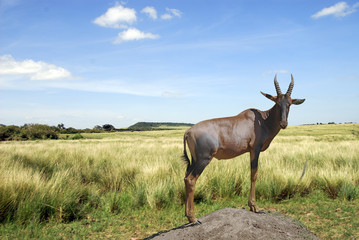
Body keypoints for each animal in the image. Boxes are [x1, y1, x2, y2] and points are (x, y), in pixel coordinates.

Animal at [181, 74, 306, 224]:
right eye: (277, 103)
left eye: (289, 104)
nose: (283, 123)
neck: (262, 120)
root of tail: (188, 131)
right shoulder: (255, 150)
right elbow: (254, 174)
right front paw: (255, 207)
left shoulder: (251, 151)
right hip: (203, 160)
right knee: (191, 180)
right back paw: (194, 219)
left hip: (194, 161)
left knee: (185, 178)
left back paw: (188, 217)